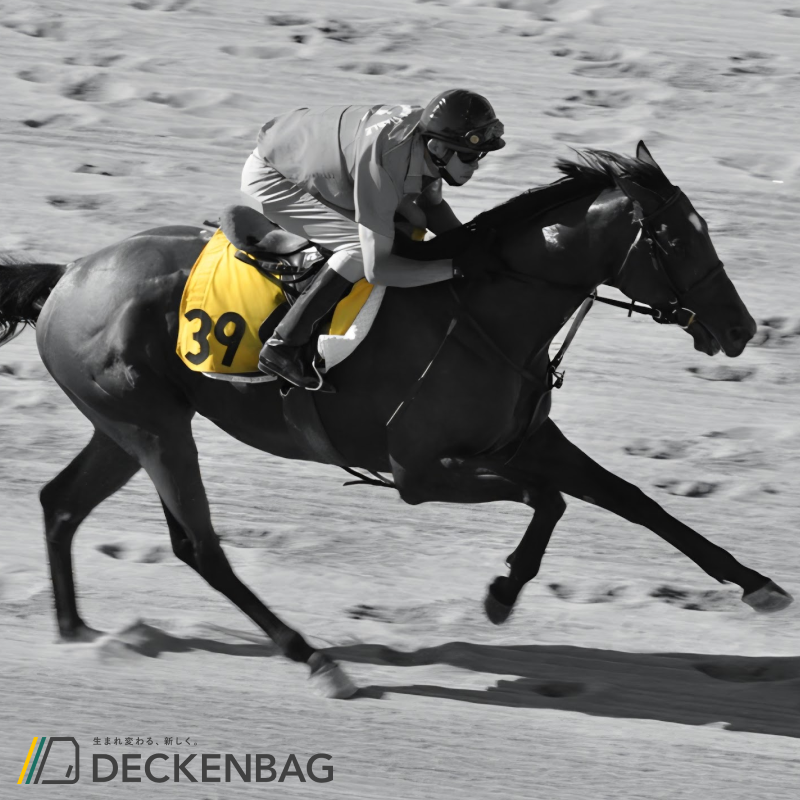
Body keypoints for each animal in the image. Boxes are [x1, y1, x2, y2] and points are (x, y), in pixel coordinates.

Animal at [0, 142, 791, 698]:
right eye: (676, 239)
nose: (741, 328)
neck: (486, 313)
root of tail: (68, 276)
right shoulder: (419, 473)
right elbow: (551, 501)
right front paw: (502, 592)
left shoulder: (527, 439)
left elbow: (633, 500)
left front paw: (757, 584)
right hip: (155, 428)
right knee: (201, 548)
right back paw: (316, 659)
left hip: (126, 428)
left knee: (61, 502)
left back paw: (75, 628)